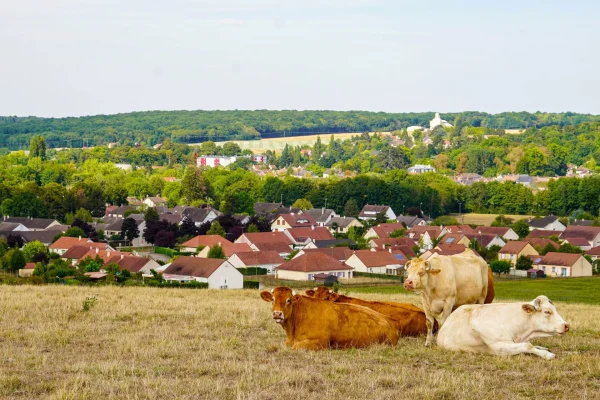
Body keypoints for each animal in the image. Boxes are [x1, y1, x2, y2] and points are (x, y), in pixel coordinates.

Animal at [434, 296, 568, 360]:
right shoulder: (498, 346)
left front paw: (543, 349)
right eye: (547, 312)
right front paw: (547, 355)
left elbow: (529, 344)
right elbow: (528, 346)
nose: (566, 325)